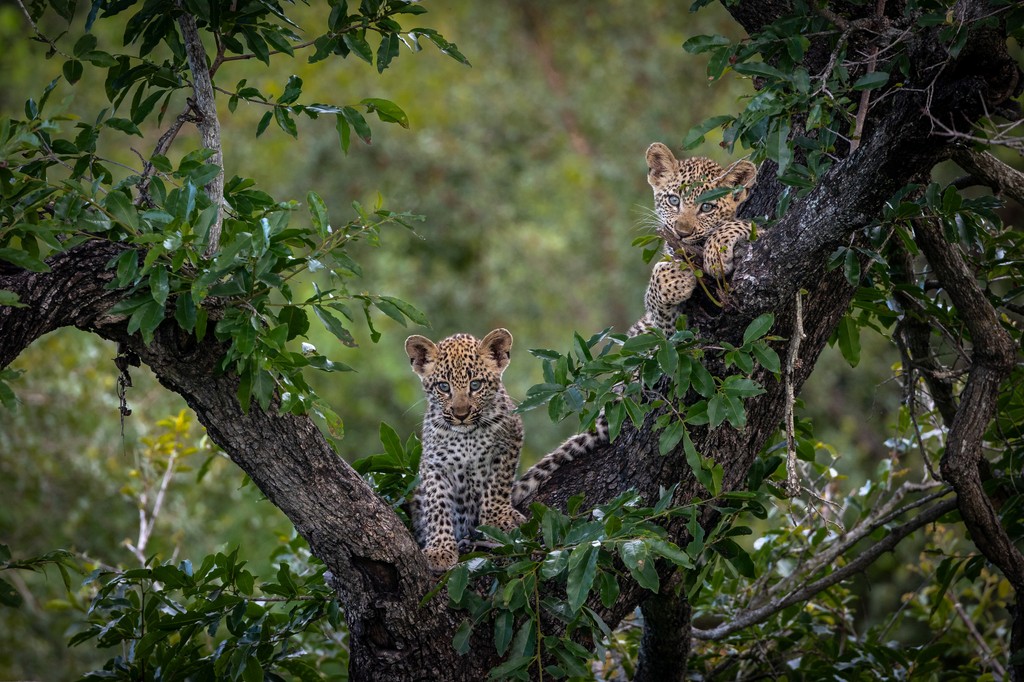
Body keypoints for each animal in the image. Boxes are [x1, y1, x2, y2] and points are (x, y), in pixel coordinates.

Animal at [405, 328, 526, 573]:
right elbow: (437, 505)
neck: (467, 437)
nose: (461, 414)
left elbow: (497, 484)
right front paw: (439, 549)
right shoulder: (433, 464)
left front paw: (496, 520)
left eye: (476, 385)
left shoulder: (511, 441)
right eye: (444, 387)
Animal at [511, 143, 757, 505]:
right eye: (673, 200)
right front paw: (674, 276)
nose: (683, 231)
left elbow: (745, 224)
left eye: (707, 206)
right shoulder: (666, 328)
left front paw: (718, 247)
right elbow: (659, 291)